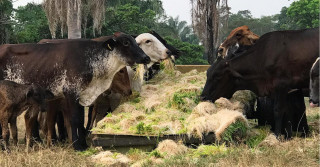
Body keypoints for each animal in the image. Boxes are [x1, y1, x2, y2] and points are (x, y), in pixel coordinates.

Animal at [0, 32, 150, 150]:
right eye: (126, 42)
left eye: (135, 42)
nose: (146, 58)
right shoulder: (71, 93)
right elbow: (75, 119)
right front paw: (78, 146)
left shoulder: (81, 96)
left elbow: (81, 120)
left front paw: (83, 144)